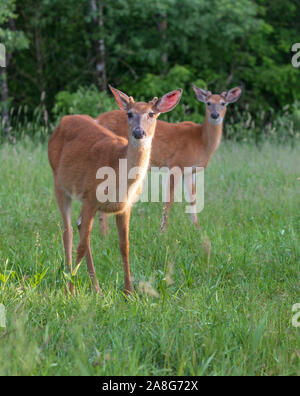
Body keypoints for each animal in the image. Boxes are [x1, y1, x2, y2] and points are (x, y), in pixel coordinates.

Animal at [47, 85, 182, 294]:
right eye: (129, 113)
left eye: (151, 114)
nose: (138, 132)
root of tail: (63, 121)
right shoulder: (90, 197)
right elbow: (82, 245)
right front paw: (70, 287)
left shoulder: (125, 206)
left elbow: (124, 246)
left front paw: (129, 291)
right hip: (59, 184)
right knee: (68, 232)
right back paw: (71, 281)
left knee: (78, 227)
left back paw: (95, 287)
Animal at [95, 83, 241, 232]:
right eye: (208, 103)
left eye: (223, 103)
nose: (215, 115)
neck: (201, 141)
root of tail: (97, 119)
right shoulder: (176, 164)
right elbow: (169, 199)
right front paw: (163, 231)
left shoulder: (190, 171)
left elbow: (192, 198)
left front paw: (197, 228)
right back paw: (105, 232)